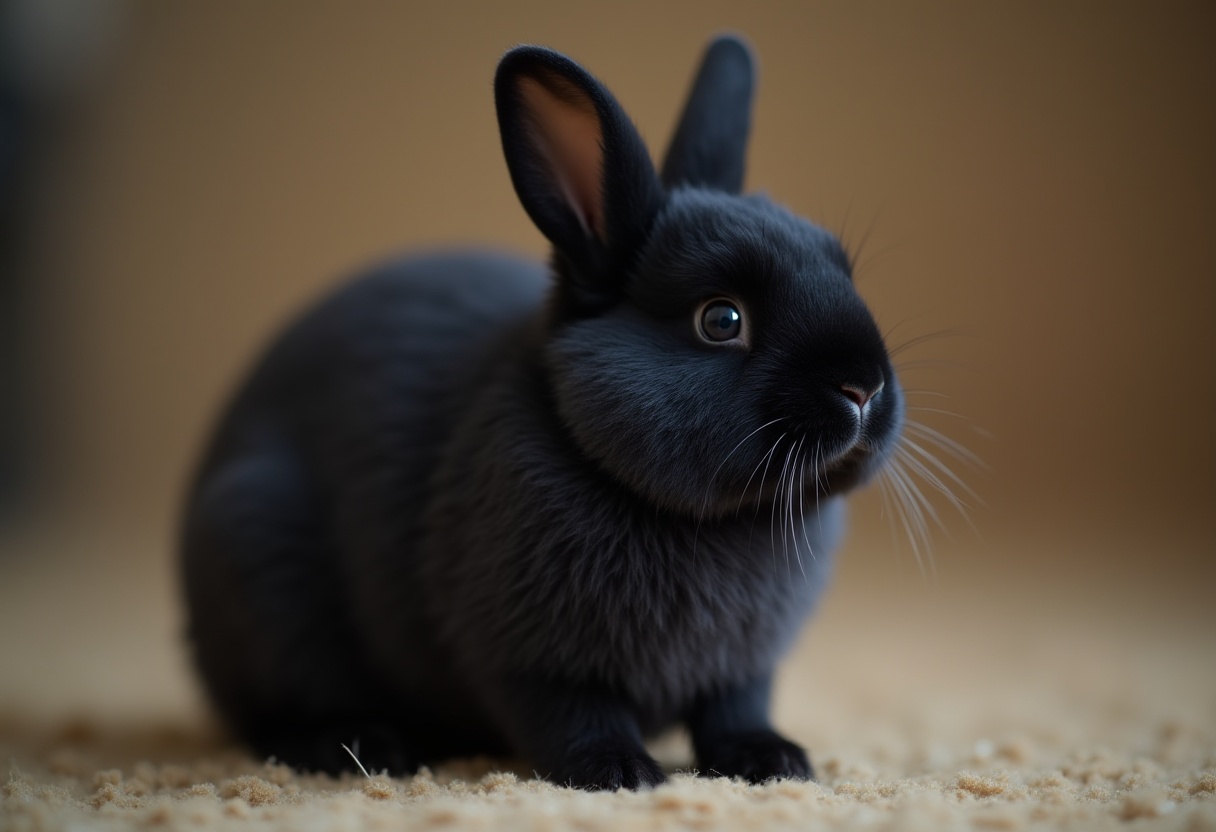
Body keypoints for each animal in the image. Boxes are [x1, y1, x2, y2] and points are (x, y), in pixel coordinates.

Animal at [180, 34, 904, 791]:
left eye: (842, 268)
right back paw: (359, 746)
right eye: (721, 319)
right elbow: (572, 715)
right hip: (255, 560)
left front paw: (775, 761)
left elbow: (734, 710)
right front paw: (620, 772)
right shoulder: (533, 661)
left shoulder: (740, 667)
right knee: (265, 720)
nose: (863, 388)